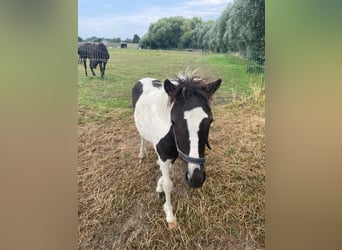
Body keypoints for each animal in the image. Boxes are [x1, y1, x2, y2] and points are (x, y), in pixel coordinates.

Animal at [131, 68, 222, 229]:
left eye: (210, 121)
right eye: (173, 121)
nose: (196, 179)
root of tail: (143, 79)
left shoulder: (173, 155)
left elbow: (167, 171)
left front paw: (159, 184)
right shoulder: (164, 156)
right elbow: (168, 184)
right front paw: (170, 215)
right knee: (141, 136)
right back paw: (141, 154)